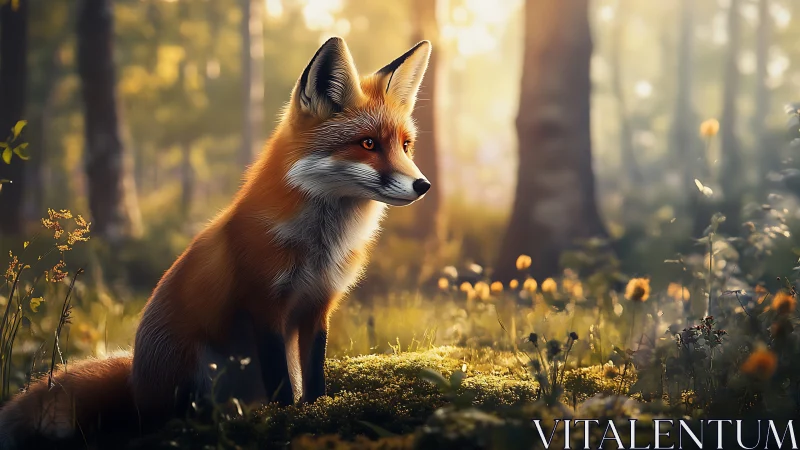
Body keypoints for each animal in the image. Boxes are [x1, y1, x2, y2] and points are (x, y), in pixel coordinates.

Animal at [0, 36, 432, 448]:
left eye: (405, 145)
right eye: (368, 144)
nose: (423, 185)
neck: (320, 247)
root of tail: (136, 382)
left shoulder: (318, 306)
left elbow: (314, 377)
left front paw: (316, 412)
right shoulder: (264, 304)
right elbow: (280, 382)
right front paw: (286, 421)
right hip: (198, 368)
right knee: (176, 419)